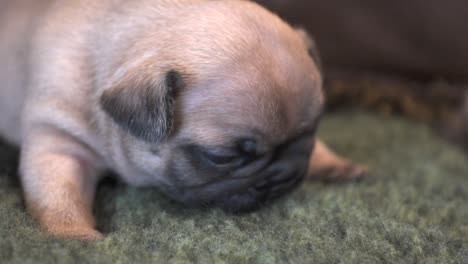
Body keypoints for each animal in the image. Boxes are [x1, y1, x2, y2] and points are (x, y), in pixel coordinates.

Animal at [0, 0, 366, 239]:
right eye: (221, 157)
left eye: (312, 131)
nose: (286, 174)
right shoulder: (60, 141)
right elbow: (59, 195)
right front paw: (75, 237)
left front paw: (333, 163)